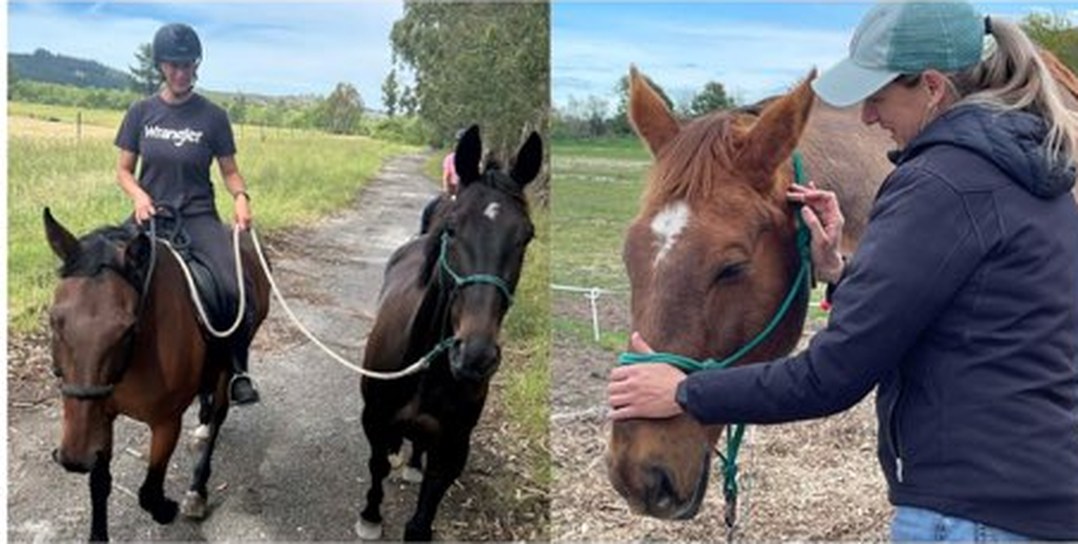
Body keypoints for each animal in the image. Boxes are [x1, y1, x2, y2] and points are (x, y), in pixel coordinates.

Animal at [43, 208, 270, 541]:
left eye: (127, 329)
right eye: (54, 320)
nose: (74, 457)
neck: (134, 359)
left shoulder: (166, 422)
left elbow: (149, 492)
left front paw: (166, 508)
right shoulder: (100, 415)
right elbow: (99, 485)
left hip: (227, 367)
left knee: (219, 414)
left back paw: (197, 490)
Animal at [357, 125, 542, 541]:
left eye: (526, 236)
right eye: (454, 229)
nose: (475, 356)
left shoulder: (455, 446)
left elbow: (425, 512)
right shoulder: (374, 419)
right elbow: (377, 466)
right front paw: (370, 516)